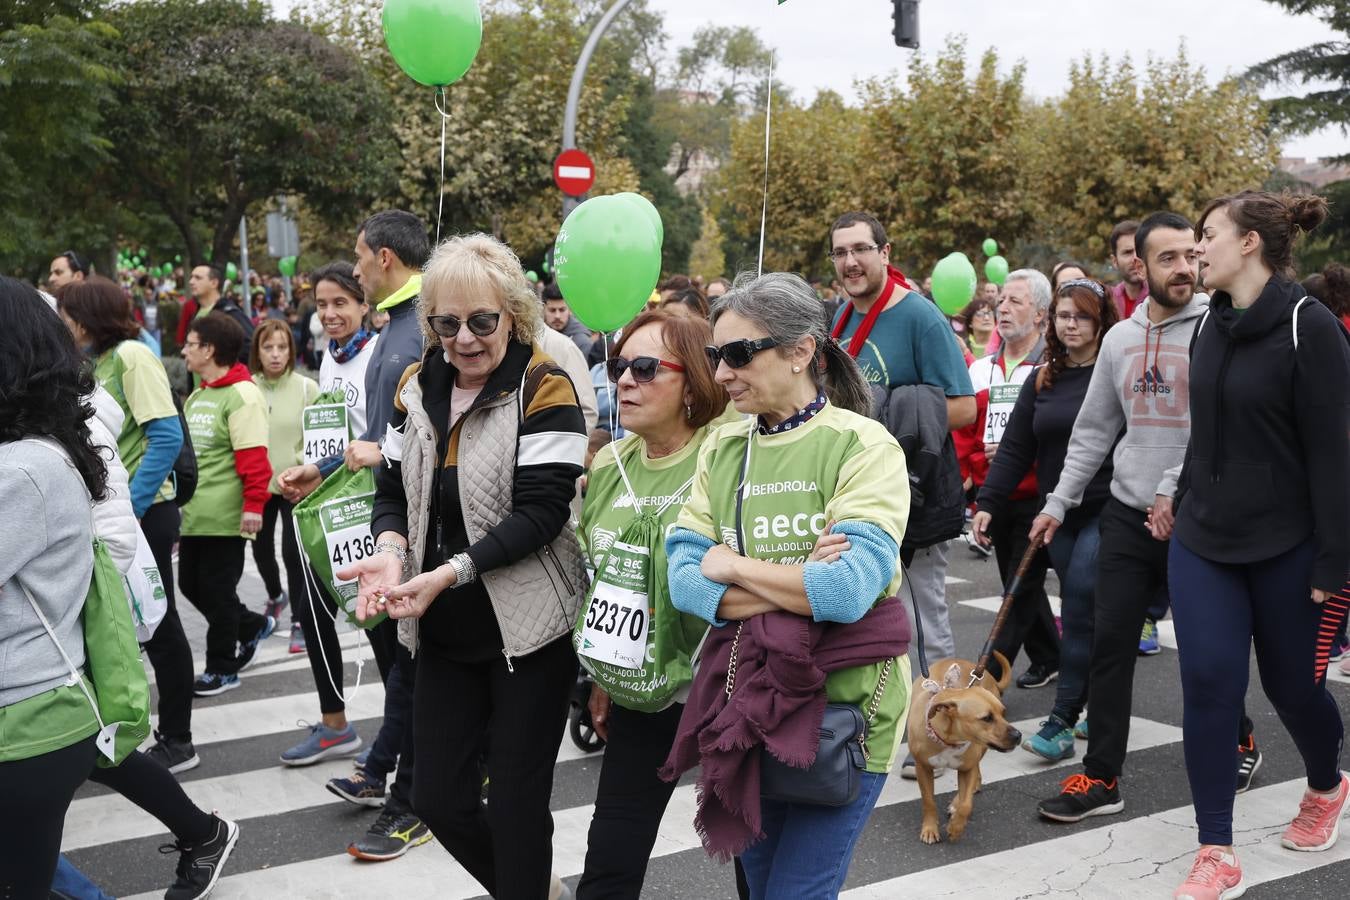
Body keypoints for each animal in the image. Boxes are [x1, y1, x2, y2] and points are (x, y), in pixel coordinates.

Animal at [907, 647, 1020, 847]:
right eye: (987, 718)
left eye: (1003, 713)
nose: (1018, 736)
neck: (949, 739)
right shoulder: (923, 767)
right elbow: (928, 801)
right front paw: (929, 829)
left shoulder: (967, 768)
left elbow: (966, 804)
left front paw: (955, 827)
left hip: (979, 750)